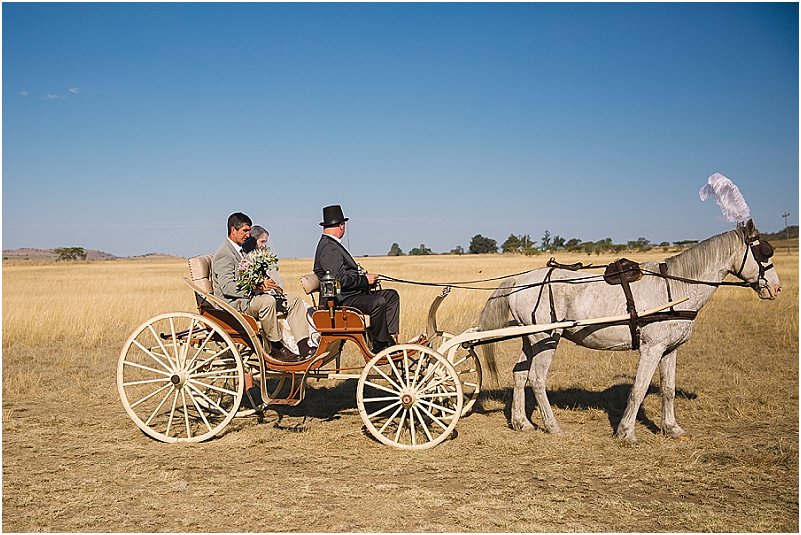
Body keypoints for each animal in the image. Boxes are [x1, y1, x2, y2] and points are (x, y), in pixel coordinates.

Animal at [478, 220, 780, 446]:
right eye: (764, 252)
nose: (776, 288)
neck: (676, 288)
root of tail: (519, 280)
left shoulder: (670, 349)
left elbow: (668, 389)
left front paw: (671, 428)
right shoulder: (651, 348)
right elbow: (639, 389)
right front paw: (626, 433)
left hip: (531, 338)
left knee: (519, 375)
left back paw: (521, 422)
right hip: (547, 339)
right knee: (537, 379)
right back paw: (552, 426)